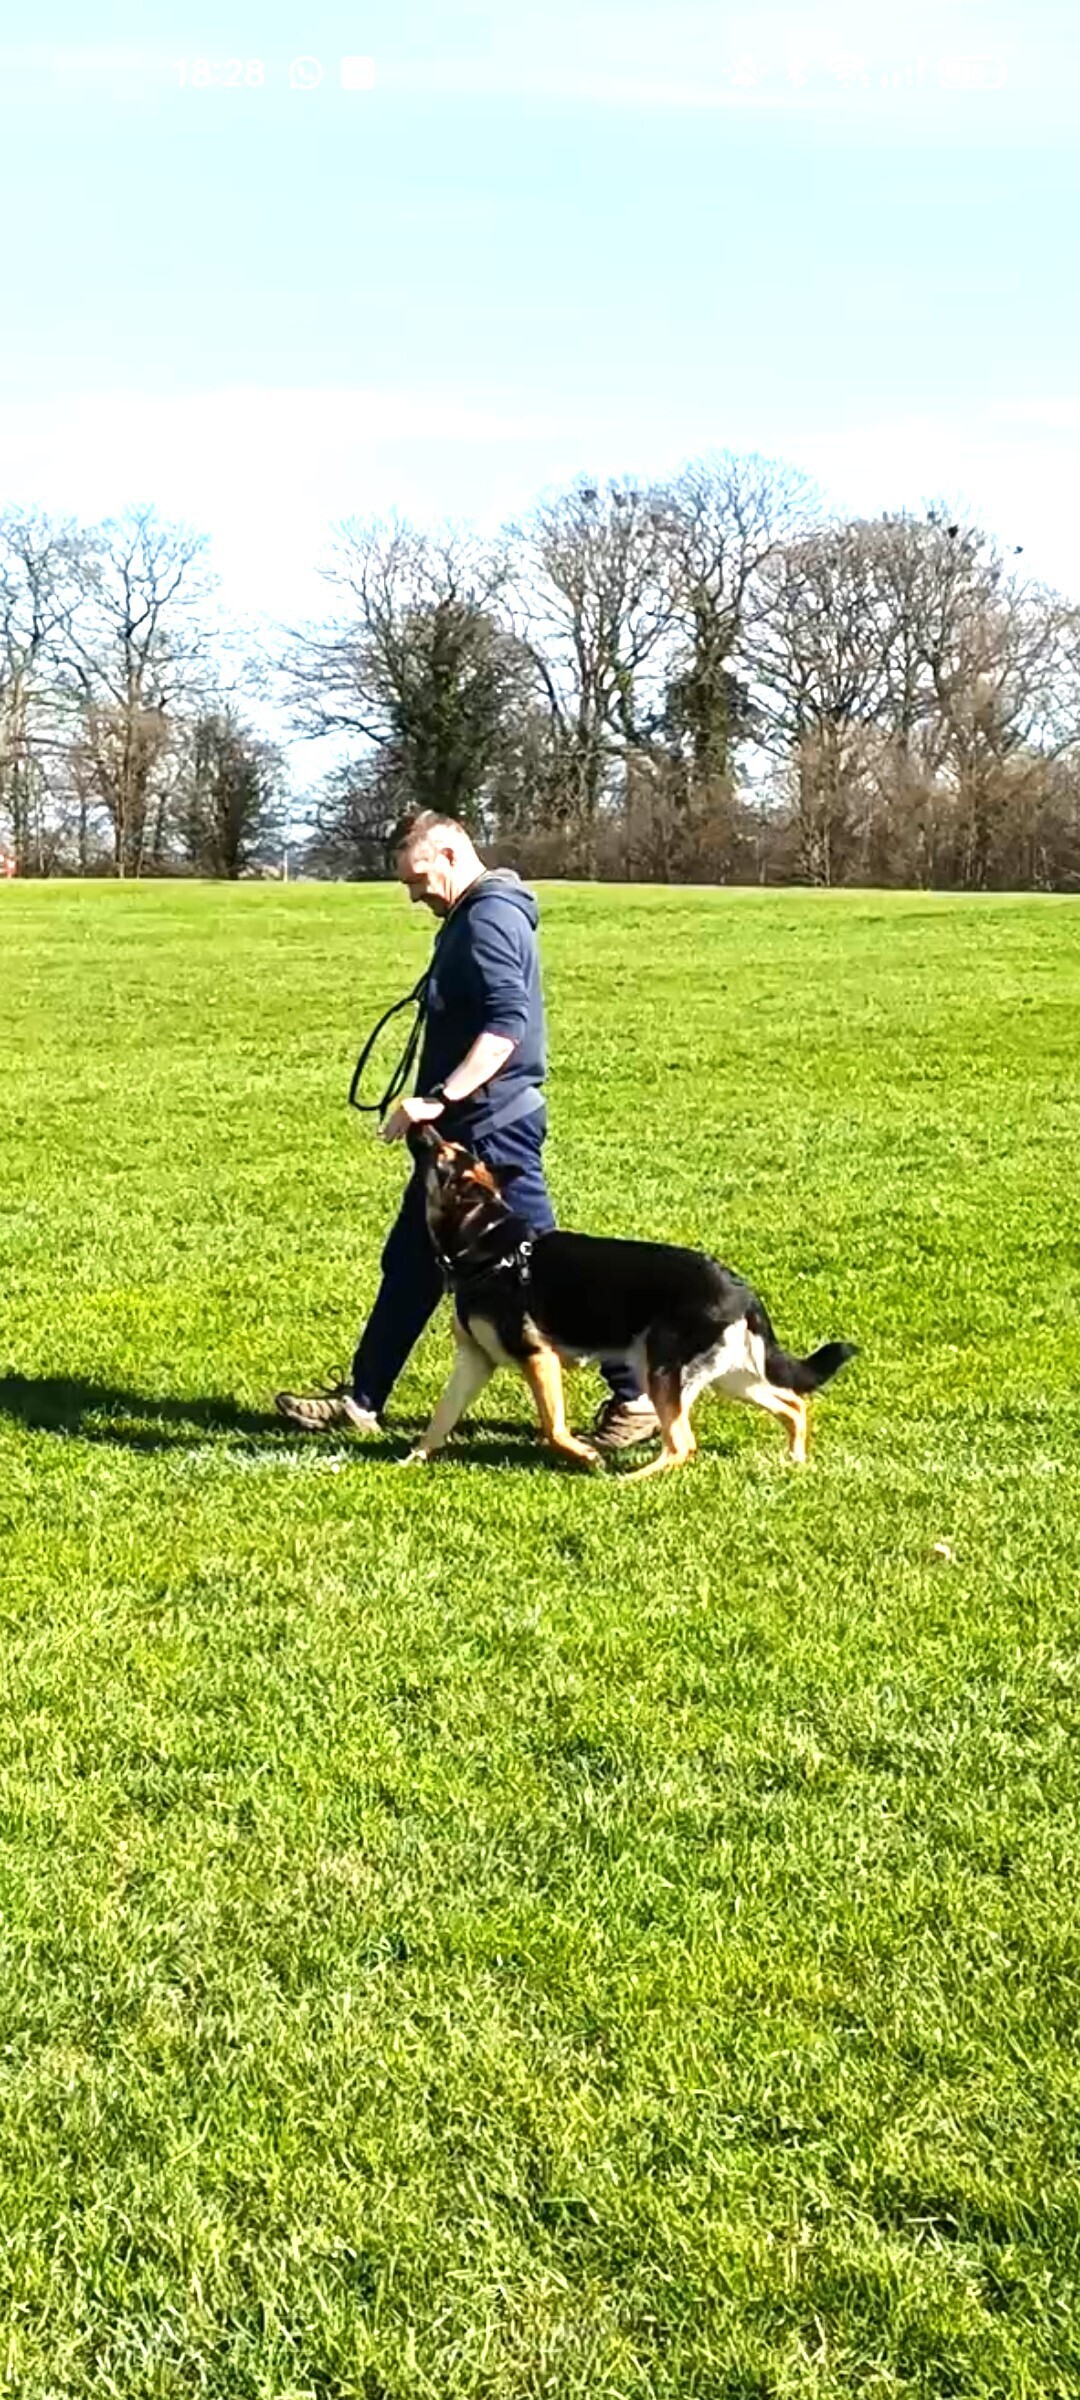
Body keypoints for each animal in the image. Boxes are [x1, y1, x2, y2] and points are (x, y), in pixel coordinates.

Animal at [406, 1128, 856, 1479]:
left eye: (443, 1153)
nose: (420, 1123)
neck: (486, 1244)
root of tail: (743, 1290)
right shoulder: (475, 1360)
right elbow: (440, 1418)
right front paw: (411, 1461)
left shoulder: (537, 1356)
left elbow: (553, 1429)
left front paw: (588, 1457)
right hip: (729, 1375)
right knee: (793, 1404)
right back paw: (794, 1459)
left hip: (663, 1373)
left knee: (682, 1444)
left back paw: (629, 1480)